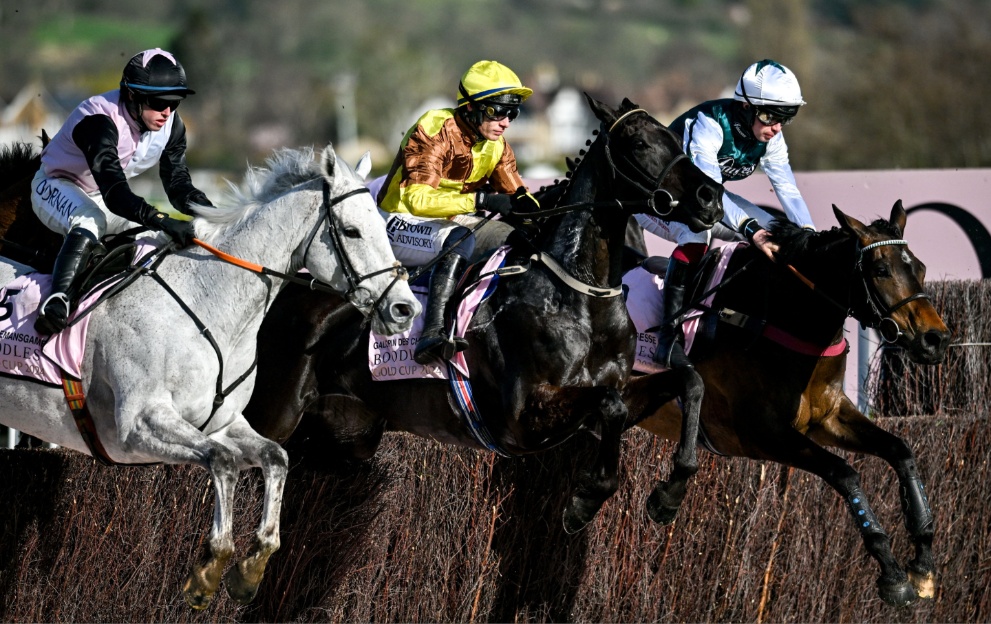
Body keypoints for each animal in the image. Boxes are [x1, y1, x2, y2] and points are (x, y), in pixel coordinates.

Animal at [248, 95, 724, 532]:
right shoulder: (522, 420)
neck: (577, 296)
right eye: (639, 142)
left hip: (347, 433)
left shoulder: (605, 399)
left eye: (675, 138)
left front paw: (669, 494)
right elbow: (610, 406)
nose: (711, 197)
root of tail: (285, 291)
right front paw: (585, 500)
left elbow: (687, 382)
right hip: (273, 414)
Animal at [624, 201, 948, 608]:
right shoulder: (760, 432)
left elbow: (900, 449)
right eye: (881, 270)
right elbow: (844, 473)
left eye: (919, 267)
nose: (936, 339)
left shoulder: (827, 417)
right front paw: (891, 572)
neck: (780, 315)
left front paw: (922, 564)